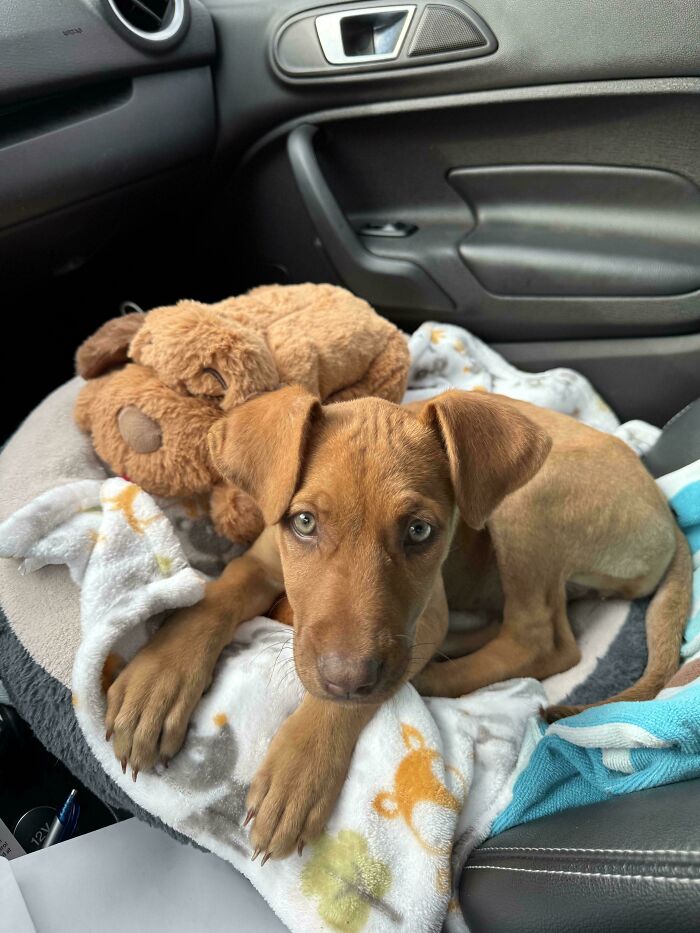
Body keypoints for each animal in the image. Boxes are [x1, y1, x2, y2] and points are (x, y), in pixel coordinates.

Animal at [106, 384, 692, 860]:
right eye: (303, 522)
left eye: (419, 530)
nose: (349, 677)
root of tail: (666, 516)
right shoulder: (259, 561)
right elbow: (214, 600)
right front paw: (155, 683)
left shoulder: (420, 622)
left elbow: (355, 696)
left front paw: (301, 768)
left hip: (532, 500)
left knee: (542, 640)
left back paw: (434, 677)